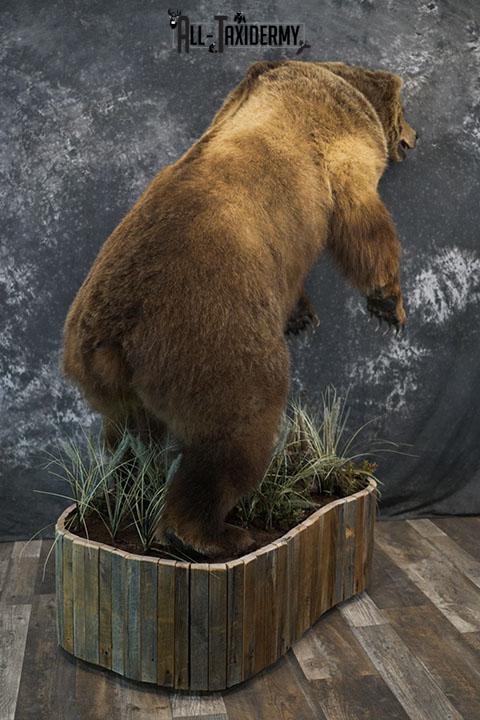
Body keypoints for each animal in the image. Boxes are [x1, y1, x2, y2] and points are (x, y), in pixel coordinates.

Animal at [62, 60, 417, 559]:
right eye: (406, 110)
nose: (415, 137)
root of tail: (112, 340)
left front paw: (302, 316)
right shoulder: (339, 150)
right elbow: (363, 221)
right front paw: (389, 302)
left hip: (110, 388)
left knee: (125, 439)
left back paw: (123, 491)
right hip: (214, 344)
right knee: (233, 434)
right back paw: (213, 534)